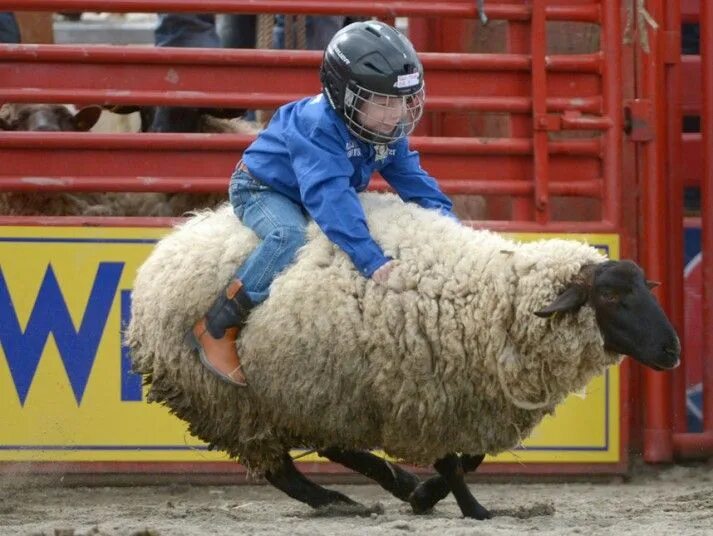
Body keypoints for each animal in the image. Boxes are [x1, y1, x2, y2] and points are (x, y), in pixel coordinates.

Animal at [126, 193, 680, 520]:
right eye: (611, 296)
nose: (672, 349)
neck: (492, 297)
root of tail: (167, 250)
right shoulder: (424, 390)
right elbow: (455, 461)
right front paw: (470, 509)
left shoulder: (460, 396)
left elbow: (470, 456)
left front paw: (426, 494)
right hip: (239, 400)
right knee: (282, 466)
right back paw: (339, 501)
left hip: (310, 395)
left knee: (325, 448)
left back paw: (387, 485)